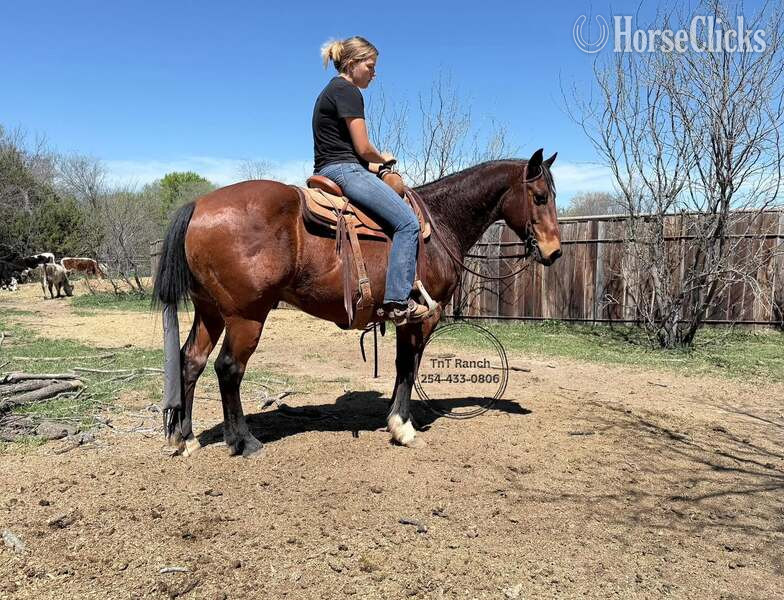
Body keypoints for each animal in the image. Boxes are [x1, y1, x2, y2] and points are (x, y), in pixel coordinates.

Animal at [153, 149, 561, 457]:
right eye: (540, 196)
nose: (554, 252)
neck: (438, 223)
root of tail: (198, 205)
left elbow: (401, 367)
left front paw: (396, 419)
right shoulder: (422, 318)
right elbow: (408, 366)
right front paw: (402, 426)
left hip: (211, 311)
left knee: (191, 361)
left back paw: (185, 438)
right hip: (246, 315)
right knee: (228, 368)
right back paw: (244, 440)